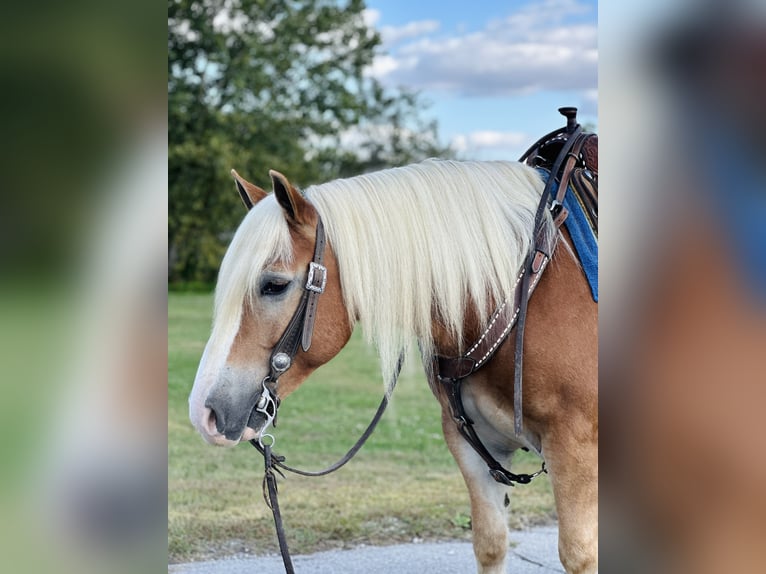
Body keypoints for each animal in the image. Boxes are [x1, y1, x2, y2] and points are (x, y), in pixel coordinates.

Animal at [188, 159, 600, 574]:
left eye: (273, 285)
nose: (203, 412)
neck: (519, 294)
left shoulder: (575, 449)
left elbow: (578, 554)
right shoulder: (476, 447)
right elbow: (490, 544)